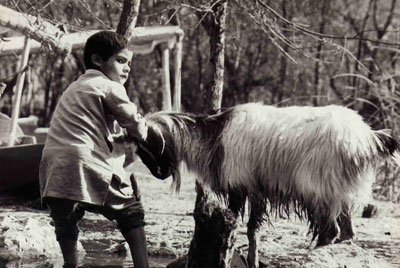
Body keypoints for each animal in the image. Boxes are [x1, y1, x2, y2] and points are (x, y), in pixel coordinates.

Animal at [135, 103, 400, 268]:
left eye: (146, 147)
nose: (159, 175)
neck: (215, 135)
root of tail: (367, 138)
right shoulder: (255, 189)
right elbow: (252, 230)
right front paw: (252, 261)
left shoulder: (241, 186)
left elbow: (244, 225)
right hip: (339, 190)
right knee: (347, 232)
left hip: (319, 188)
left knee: (330, 231)